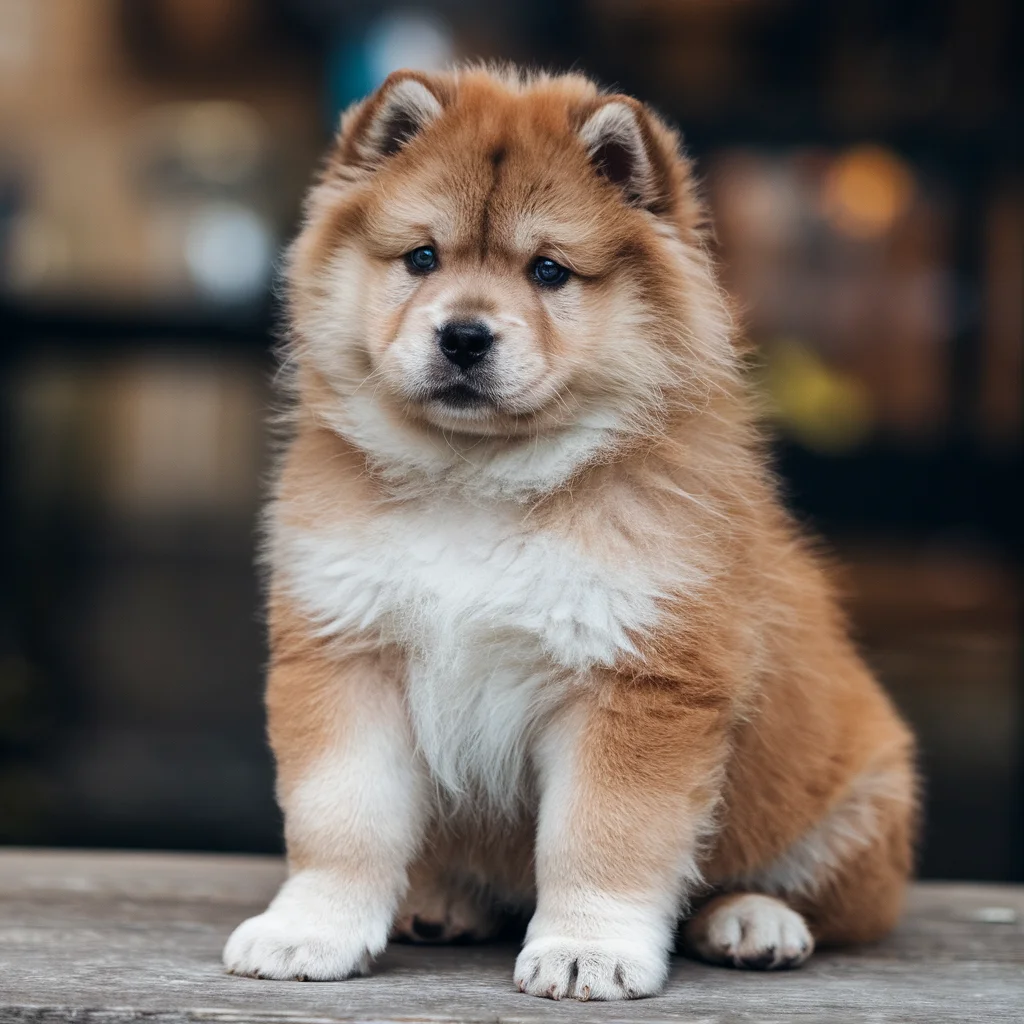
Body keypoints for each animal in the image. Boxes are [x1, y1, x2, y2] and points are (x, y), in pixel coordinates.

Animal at [222, 68, 913, 1003]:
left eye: (548, 270)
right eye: (422, 258)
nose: (463, 335)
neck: (479, 481)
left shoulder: (636, 680)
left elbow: (601, 838)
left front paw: (589, 949)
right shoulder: (349, 654)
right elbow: (342, 823)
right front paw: (310, 930)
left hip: (852, 803)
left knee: (812, 895)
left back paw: (753, 919)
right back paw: (442, 899)